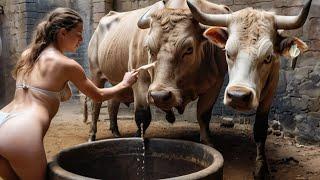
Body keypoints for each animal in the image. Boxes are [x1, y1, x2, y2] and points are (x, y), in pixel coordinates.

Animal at [188, 0, 312, 179]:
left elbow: (260, 130)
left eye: (268, 57)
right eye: (227, 53)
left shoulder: (269, 94)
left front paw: (261, 167)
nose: (238, 96)